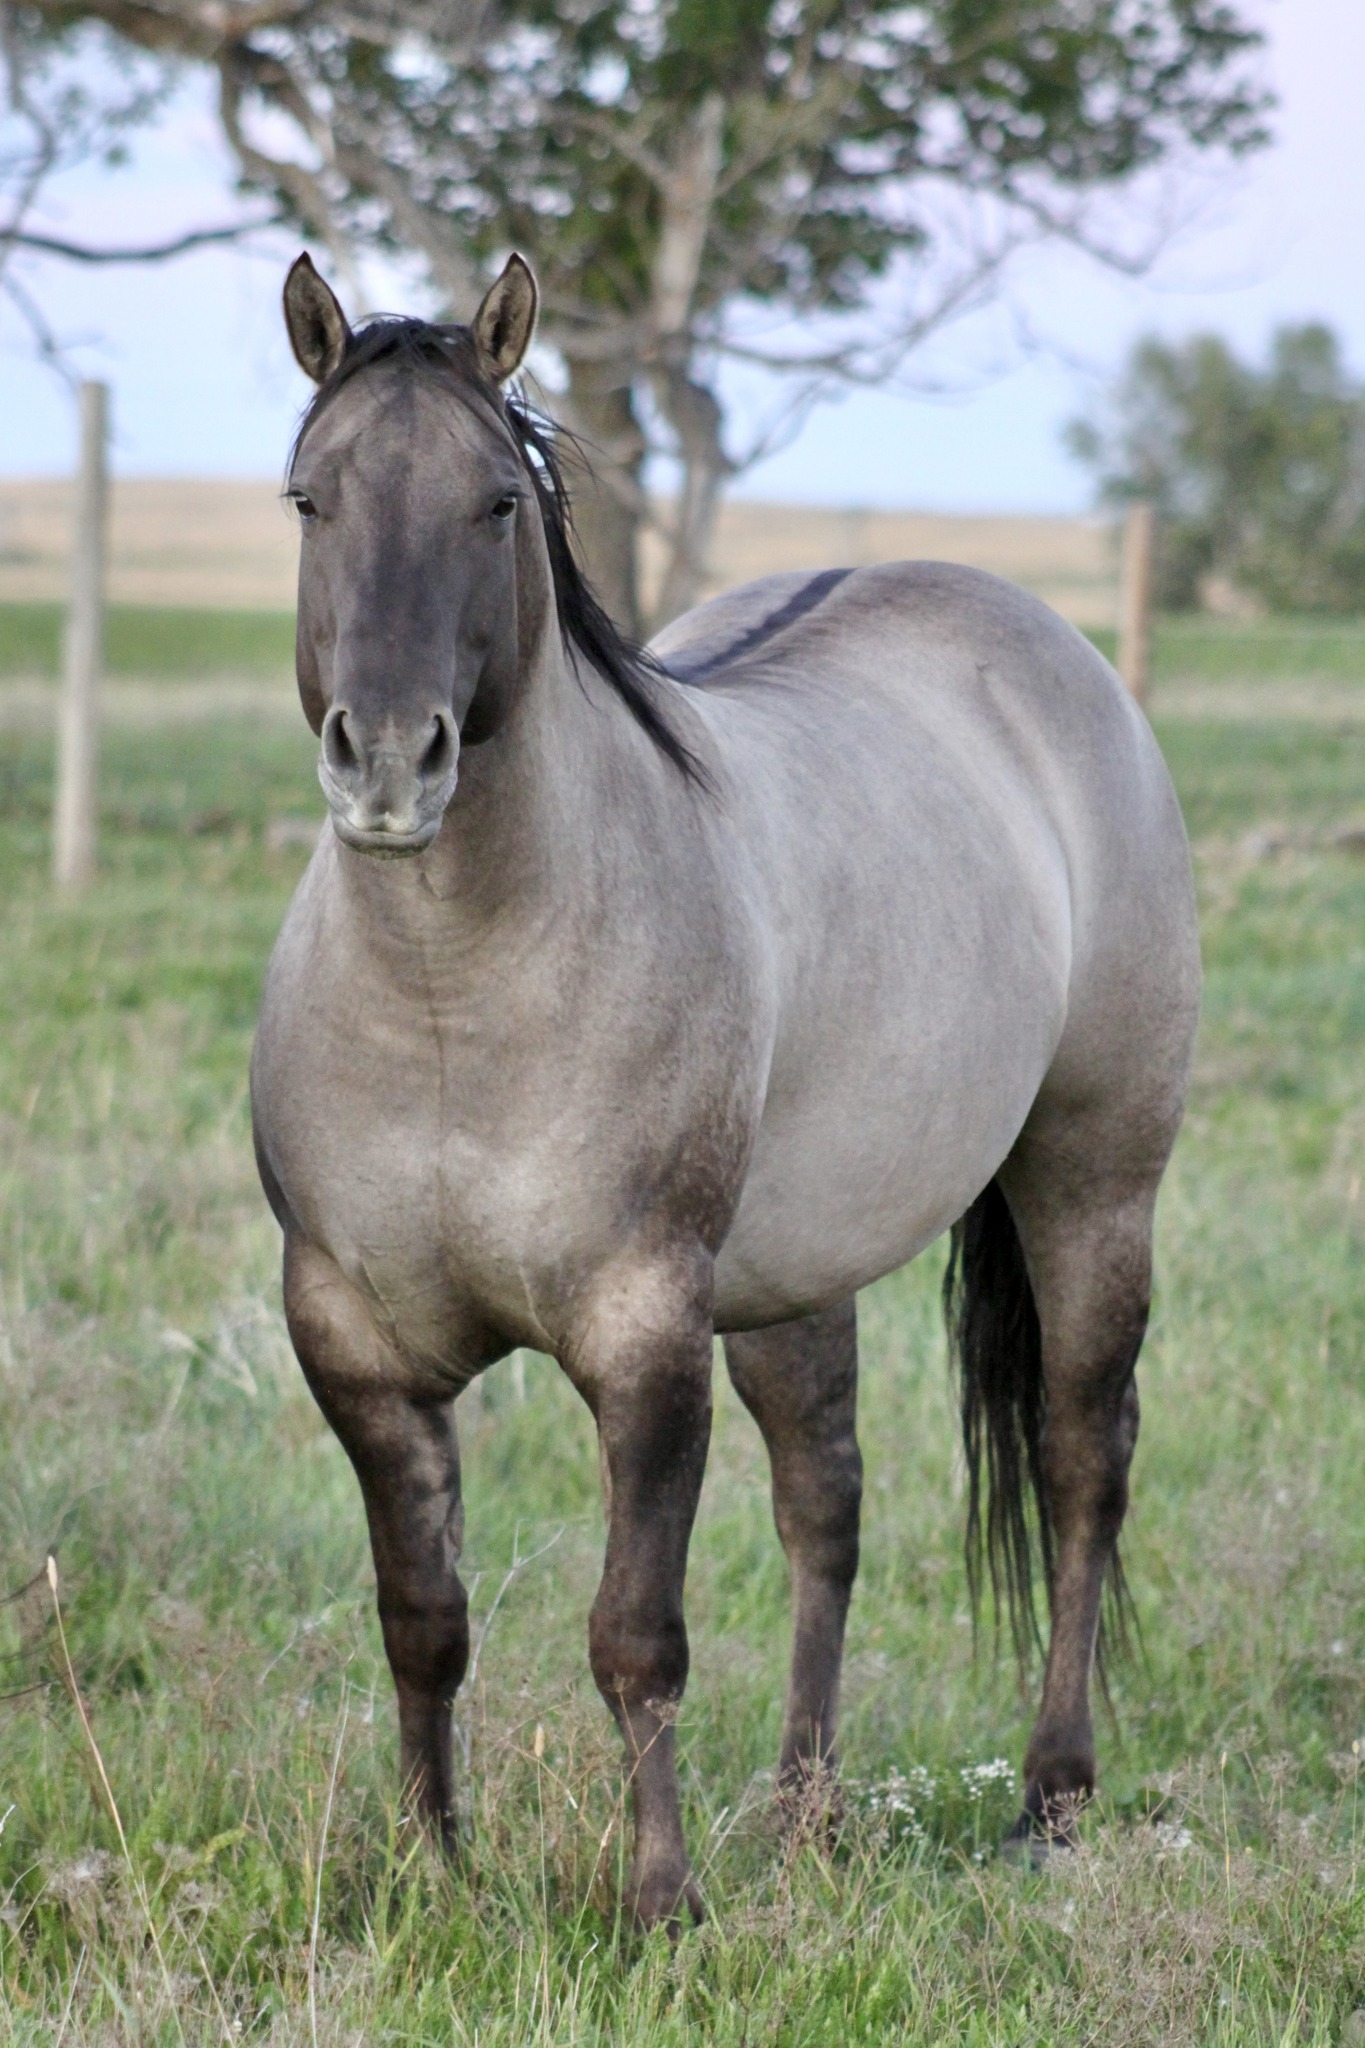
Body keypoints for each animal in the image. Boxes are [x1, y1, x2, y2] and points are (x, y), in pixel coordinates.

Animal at [250, 250, 1201, 1929]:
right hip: (789, 1275)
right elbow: (421, 1617)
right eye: (312, 499)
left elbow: (637, 1633)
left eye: (495, 506)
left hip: (1093, 1184)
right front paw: (430, 1876)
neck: (449, 1006)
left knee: (1084, 1464)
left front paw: (658, 1905)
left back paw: (1051, 1796)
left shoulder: (642, 1333)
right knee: (827, 1500)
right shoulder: (354, 1343)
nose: (389, 764)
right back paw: (802, 1813)